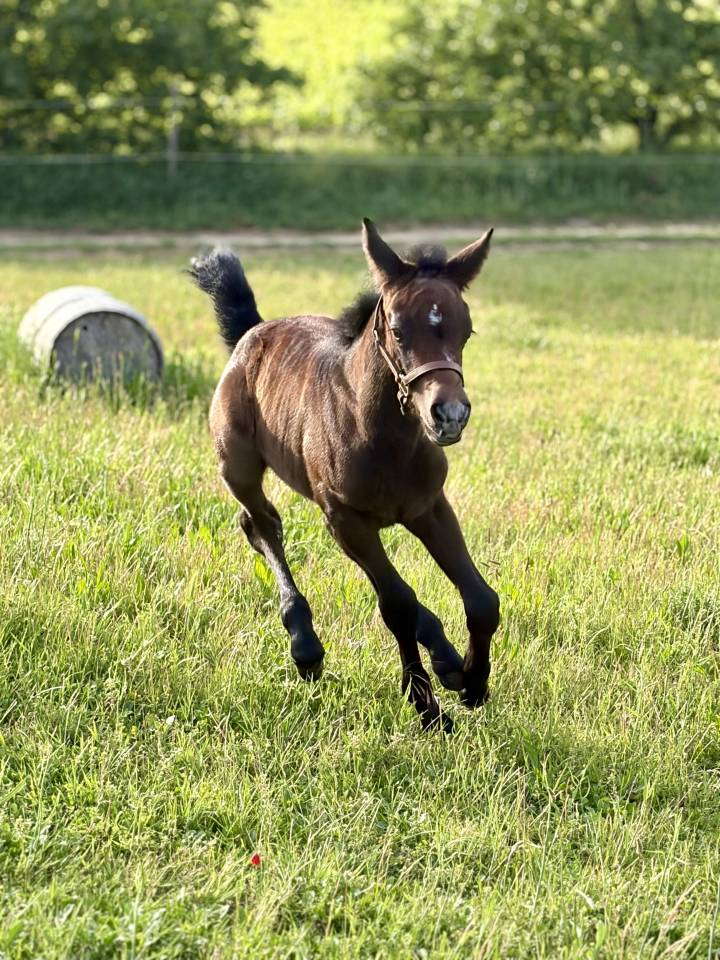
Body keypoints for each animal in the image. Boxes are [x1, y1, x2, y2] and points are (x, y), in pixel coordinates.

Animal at [189, 219, 500, 732]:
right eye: (398, 330)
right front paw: (427, 709)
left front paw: (473, 683)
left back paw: (448, 658)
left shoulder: (430, 508)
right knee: (261, 525)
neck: (385, 437)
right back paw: (305, 645)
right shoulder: (345, 519)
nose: (450, 415)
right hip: (238, 466)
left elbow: (481, 599)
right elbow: (397, 604)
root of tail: (253, 330)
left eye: (467, 330)